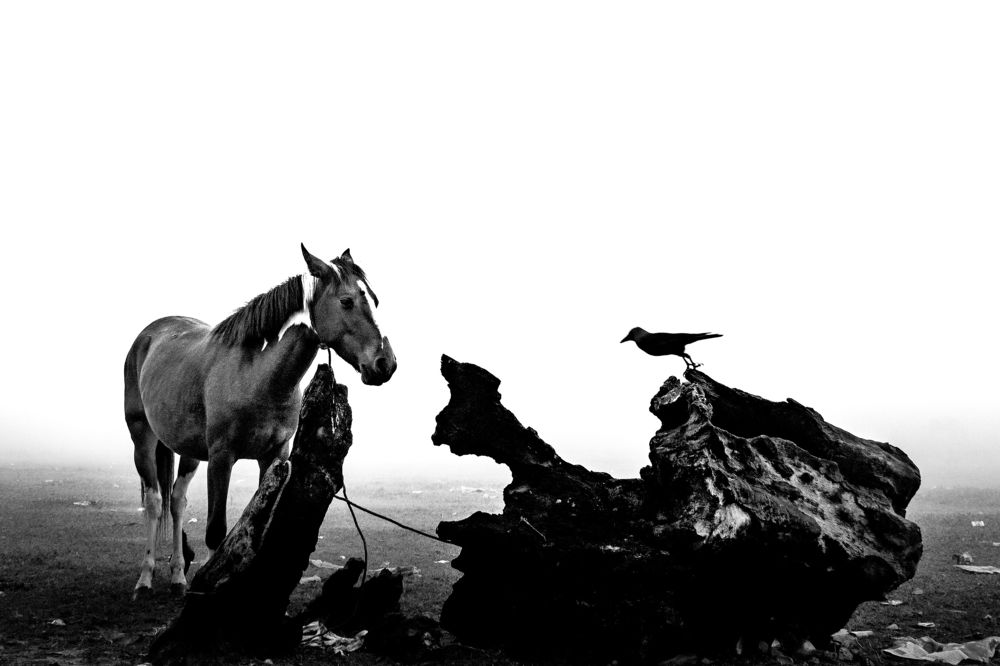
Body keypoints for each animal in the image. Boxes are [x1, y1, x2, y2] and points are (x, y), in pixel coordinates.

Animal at [123, 244, 396, 598]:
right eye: (347, 301)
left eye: (374, 300)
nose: (385, 364)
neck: (256, 372)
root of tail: (149, 335)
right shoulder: (221, 459)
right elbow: (216, 531)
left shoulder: (274, 457)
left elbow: (258, 525)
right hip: (142, 440)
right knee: (155, 502)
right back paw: (144, 580)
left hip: (188, 451)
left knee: (177, 502)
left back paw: (178, 578)